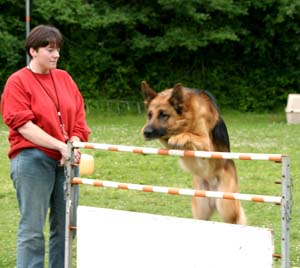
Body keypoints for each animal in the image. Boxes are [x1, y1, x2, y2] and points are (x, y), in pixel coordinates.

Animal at [142, 81, 245, 224]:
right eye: (149, 115)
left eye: (164, 115)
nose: (145, 132)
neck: (188, 115)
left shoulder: (206, 143)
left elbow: (189, 135)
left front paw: (179, 137)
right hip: (200, 210)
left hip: (227, 208)